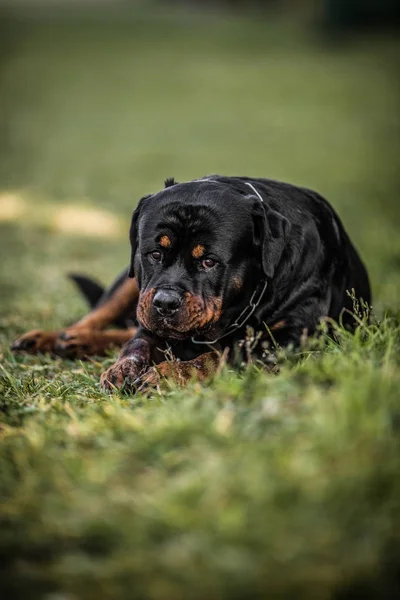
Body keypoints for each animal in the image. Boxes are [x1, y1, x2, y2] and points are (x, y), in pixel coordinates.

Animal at [10, 176, 370, 392]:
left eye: (209, 261)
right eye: (155, 253)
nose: (166, 303)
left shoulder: (290, 341)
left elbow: (220, 356)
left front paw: (168, 373)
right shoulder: (147, 308)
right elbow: (137, 344)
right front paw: (122, 368)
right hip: (129, 284)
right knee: (99, 317)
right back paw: (57, 338)